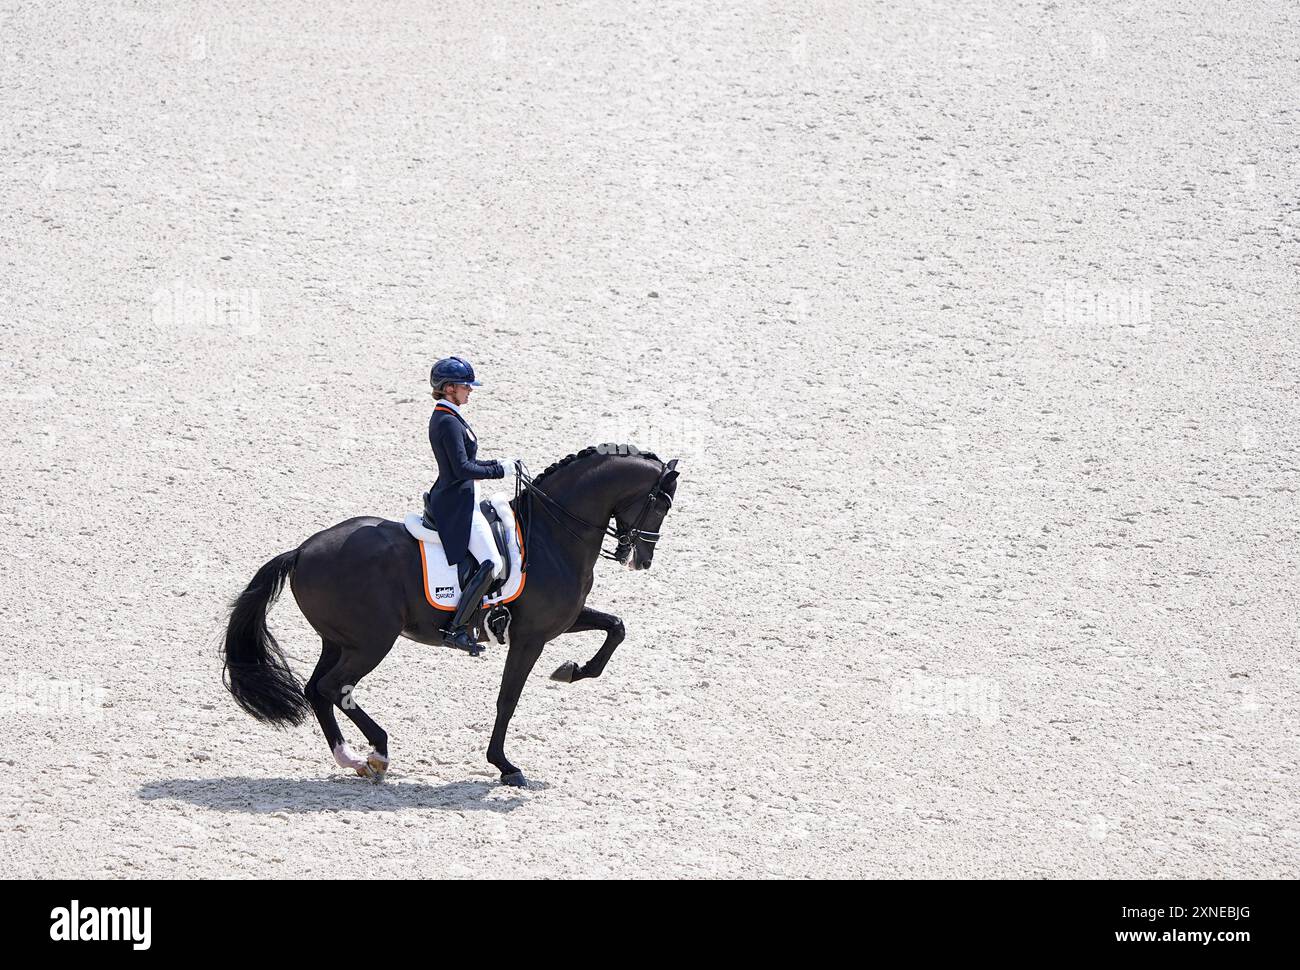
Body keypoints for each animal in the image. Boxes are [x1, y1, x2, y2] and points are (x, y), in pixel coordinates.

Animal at [220, 442, 681, 780]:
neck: (551, 534)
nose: (641, 560)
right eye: (661, 505)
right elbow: (507, 699)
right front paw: (505, 766)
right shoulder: (530, 636)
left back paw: (351, 759)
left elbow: (616, 627)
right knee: (335, 688)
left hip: (338, 640)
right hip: (371, 642)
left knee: (316, 689)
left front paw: (571, 670)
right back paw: (379, 750)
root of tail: (301, 551)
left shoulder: (561, 621)